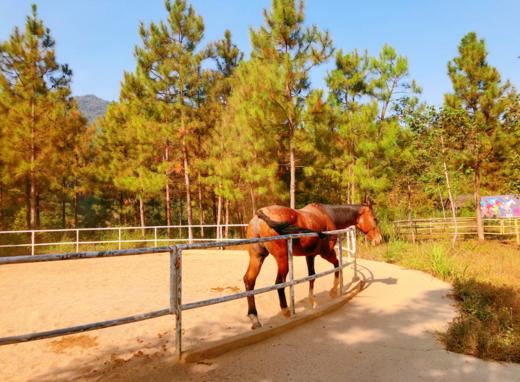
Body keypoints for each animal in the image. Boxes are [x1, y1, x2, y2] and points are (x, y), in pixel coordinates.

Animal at [244, 203, 382, 328]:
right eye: (375, 219)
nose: (379, 240)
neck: (329, 215)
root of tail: (260, 214)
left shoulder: (310, 256)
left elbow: (312, 276)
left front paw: (312, 301)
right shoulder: (326, 253)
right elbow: (337, 265)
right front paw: (333, 291)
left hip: (257, 257)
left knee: (249, 281)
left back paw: (254, 318)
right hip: (283, 260)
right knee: (279, 282)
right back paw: (286, 311)